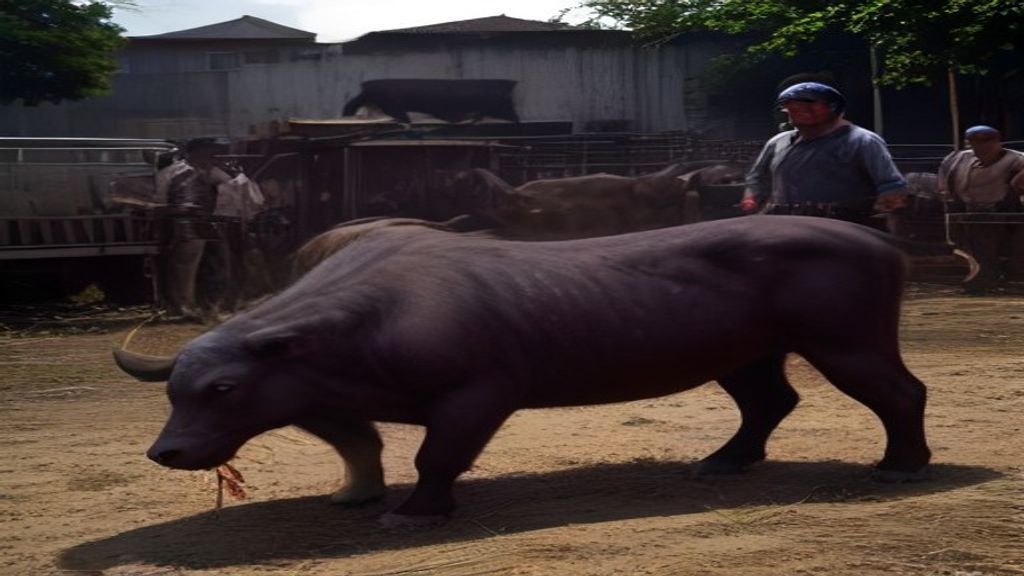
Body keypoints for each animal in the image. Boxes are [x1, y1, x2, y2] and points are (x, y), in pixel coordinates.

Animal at [114, 216, 937, 527]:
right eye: (175, 392)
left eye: (222, 389)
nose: (168, 452)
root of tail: (875, 238)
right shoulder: (318, 394)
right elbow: (360, 443)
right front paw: (357, 495)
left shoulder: (476, 396)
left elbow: (434, 456)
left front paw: (413, 512)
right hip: (744, 352)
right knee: (767, 400)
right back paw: (723, 462)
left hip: (848, 342)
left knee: (900, 392)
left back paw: (902, 467)